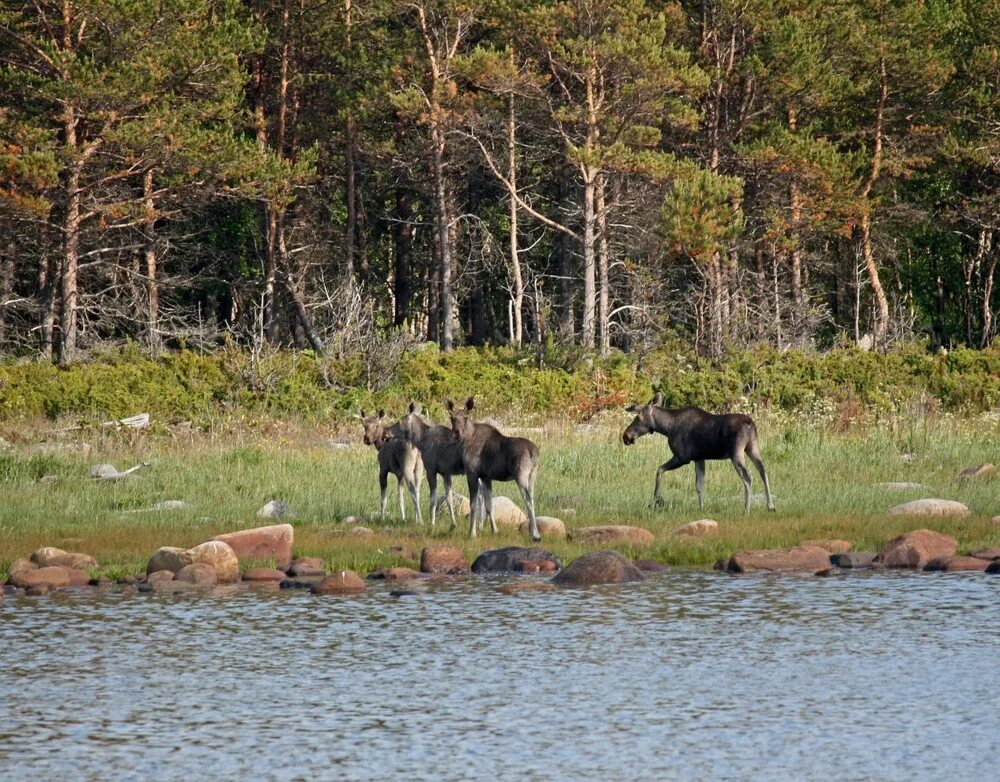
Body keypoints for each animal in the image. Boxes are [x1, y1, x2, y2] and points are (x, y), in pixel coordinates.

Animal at [446, 402, 540, 544]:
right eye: (452, 418)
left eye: (466, 417)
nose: (457, 433)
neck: (466, 442)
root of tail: (535, 452)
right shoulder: (486, 477)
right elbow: (489, 505)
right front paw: (494, 530)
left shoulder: (472, 473)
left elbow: (474, 504)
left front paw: (472, 533)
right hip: (532, 476)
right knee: (532, 497)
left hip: (521, 475)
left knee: (528, 500)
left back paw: (535, 534)